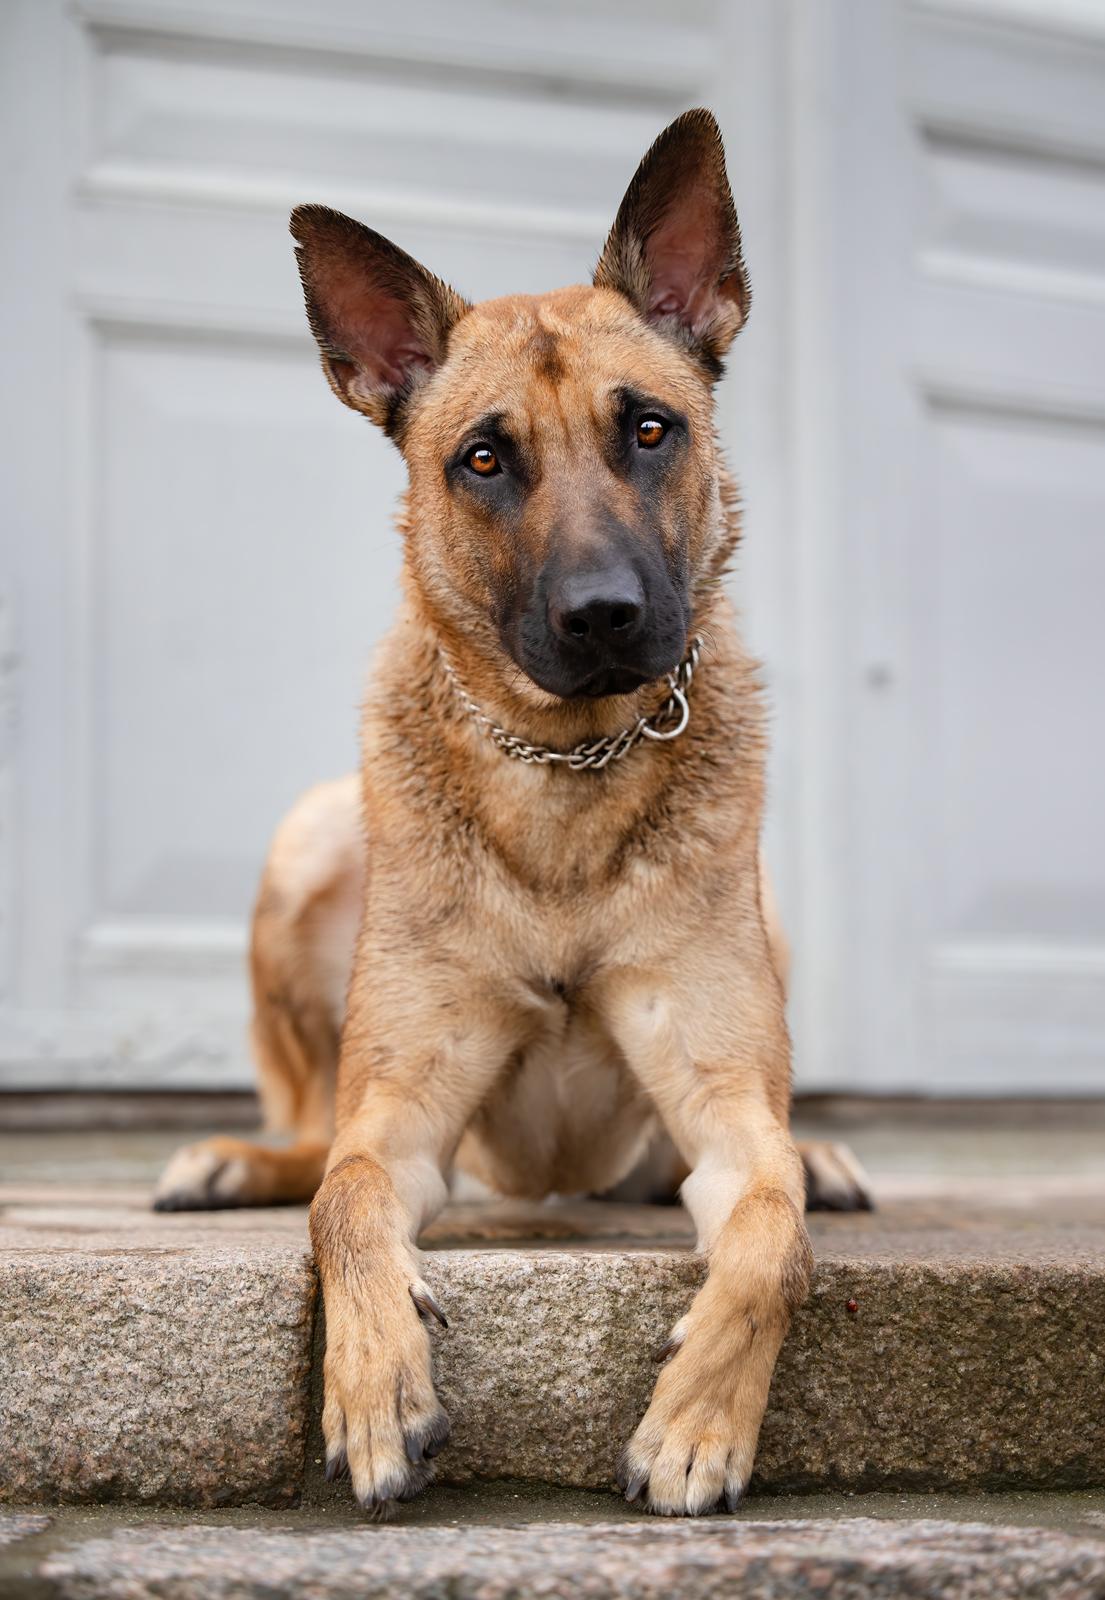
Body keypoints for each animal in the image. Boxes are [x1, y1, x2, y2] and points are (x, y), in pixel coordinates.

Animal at [151, 109, 876, 1510]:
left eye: (648, 430)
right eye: (484, 460)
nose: (604, 617)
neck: (567, 770)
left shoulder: (725, 1113)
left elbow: (768, 1230)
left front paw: (699, 1419)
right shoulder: (403, 1123)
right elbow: (345, 1196)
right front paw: (374, 1382)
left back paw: (821, 1158)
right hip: (309, 840)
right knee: (311, 1134)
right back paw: (238, 1162)